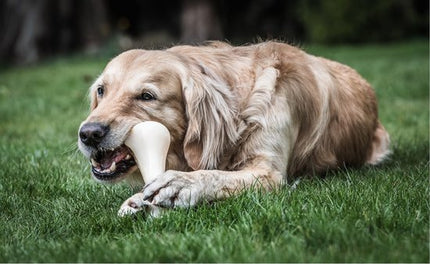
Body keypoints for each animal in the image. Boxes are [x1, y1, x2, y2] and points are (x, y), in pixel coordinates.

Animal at [77, 40, 390, 214]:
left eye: (146, 96)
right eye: (102, 91)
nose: (89, 134)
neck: (240, 115)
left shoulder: (268, 173)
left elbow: (215, 175)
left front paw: (180, 183)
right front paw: (136, 200)